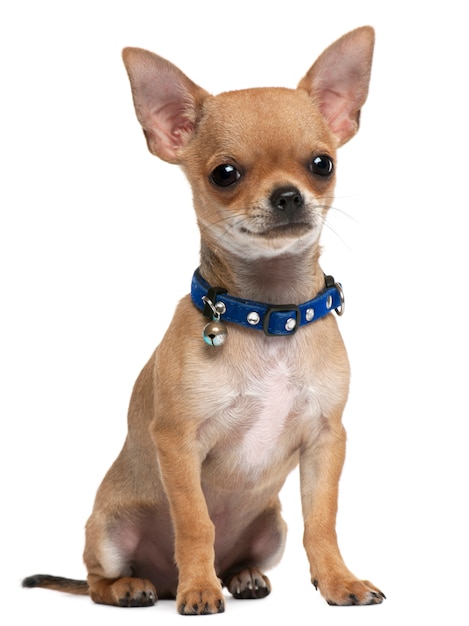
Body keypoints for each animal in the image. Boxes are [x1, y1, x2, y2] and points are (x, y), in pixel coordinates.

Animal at [21, 26, 384, 612]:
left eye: (321, 164)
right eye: (225, 174)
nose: (289, 196)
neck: (267, 316)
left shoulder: (326, 441)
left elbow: (322, 521)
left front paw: (338, 582)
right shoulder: (178, 441)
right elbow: (195, 523)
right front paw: (199, 589)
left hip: (272, 528)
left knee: (248, 552)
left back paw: (243, 576)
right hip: (109, 530)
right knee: (97, 580)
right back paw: (140, 587)